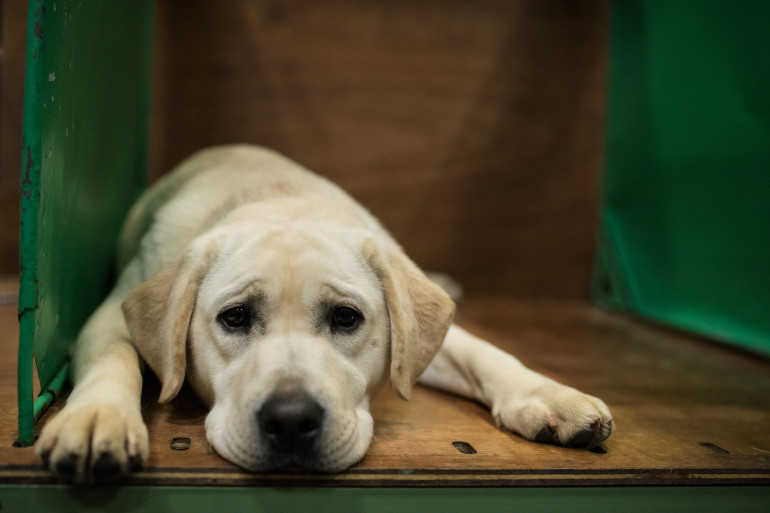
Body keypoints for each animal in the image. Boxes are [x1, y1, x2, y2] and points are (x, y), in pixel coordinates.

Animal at [34, 145, 612, 484]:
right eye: (235, 318)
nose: (291, 421)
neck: (281, 197)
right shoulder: (110, 313)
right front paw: (99, 417)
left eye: (347, 318)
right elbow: (115, 357)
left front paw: (548, 395)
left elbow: (487, 353)